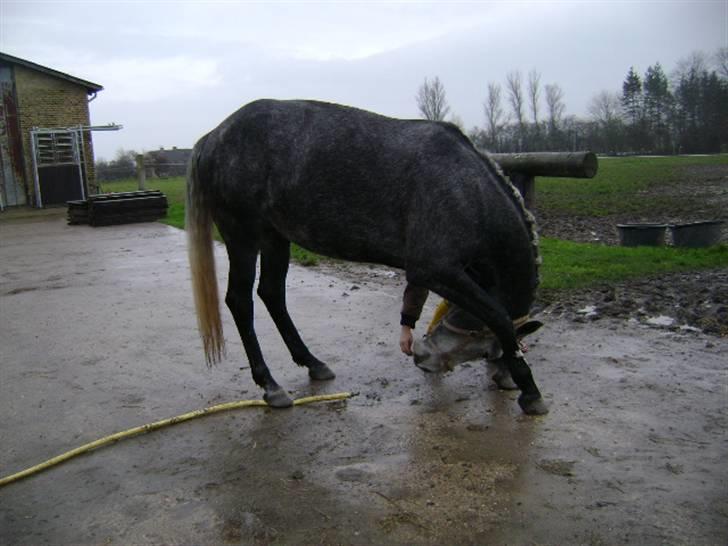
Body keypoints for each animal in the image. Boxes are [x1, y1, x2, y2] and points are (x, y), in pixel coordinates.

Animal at [186, 99, 544, 412]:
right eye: (485, 351)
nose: (422, 356)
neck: (465, 188)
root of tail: (212, 136)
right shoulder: (435, 269)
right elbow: (498, 315)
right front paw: (530, 392)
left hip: (275, 237)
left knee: (272, 294)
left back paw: (313, 363)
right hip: (243, 236)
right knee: (240, 301)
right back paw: (271, 386)